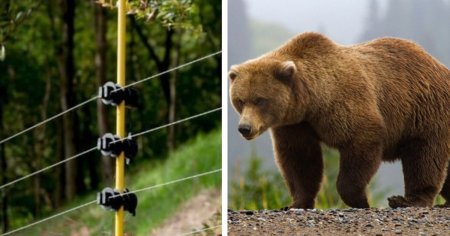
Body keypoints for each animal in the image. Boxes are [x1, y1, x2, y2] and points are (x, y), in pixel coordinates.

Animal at [230, 31, 448, 208]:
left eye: (260, 100)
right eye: (240, 100)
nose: (245, 128)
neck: (311, 102)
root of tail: (441, 67)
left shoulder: (344, 104)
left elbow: (361, 141)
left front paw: (360, 200)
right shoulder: (295, 124)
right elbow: (300, 159)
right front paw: (296, 203)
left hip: (423, 114)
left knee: (424, 157)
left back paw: (407, 200)